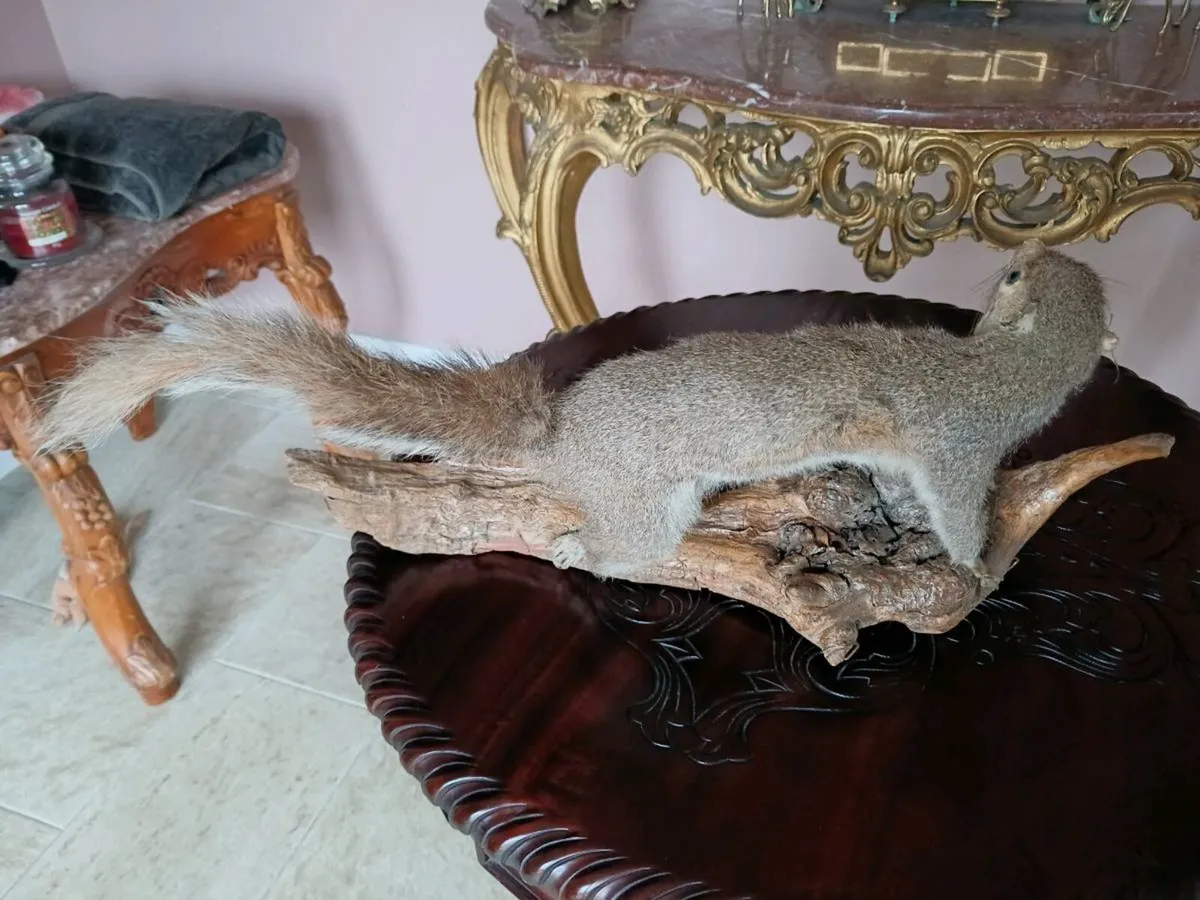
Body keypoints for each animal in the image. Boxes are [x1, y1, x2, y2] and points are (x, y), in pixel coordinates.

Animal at [35, 239, 1116, 581]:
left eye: (1063, 266)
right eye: (1021, 270)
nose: (1018, 254)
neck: (999, 370)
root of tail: (563, 435)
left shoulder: (921, 448)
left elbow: (900, 483)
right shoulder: (958, 446)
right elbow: (959, 505)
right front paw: (974, 562)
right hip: (648, 508)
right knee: (621, 547)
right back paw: (575, 546)